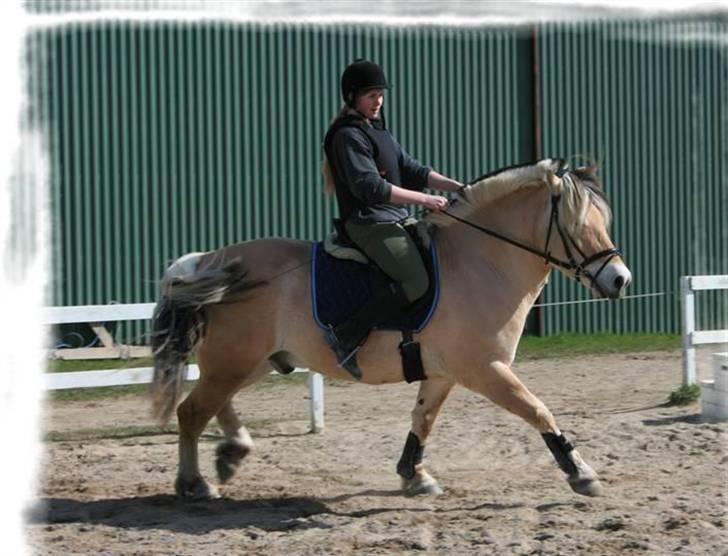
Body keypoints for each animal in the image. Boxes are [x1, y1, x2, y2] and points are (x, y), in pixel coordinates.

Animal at [149, 160, 632, 500]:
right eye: (577, 225)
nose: (620, 281)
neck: (480, 263)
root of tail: (209, 259)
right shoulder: (486, 370)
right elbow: (539, 411)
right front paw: (581, 473)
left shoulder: (443, 373)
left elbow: (423, 420)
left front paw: (414, 476)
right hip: (235, 360)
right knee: (193, 412)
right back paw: (195, 483)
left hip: (254, 360)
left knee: (215, 405)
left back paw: (231, 454)